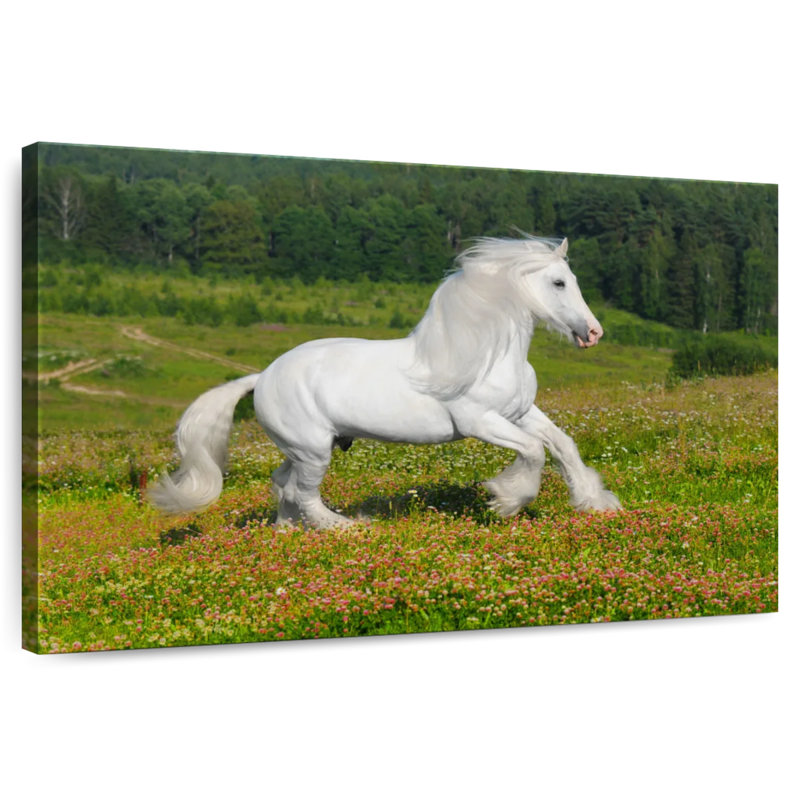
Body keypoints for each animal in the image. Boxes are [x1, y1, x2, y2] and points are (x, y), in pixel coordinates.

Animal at [149, 235, 621, 529]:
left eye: (573, 280)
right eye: (558, 282)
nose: (593, 333)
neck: (486, 353)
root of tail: (262, 376)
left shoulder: (520, 412)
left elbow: (561, 445)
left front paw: (597, 503)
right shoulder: (480, 422)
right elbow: (534, 452)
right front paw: (506, 499)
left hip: (300, 449)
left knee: (282, 484)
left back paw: (287, 531)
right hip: (313, 449)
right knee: (305, 494)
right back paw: (346, 528)